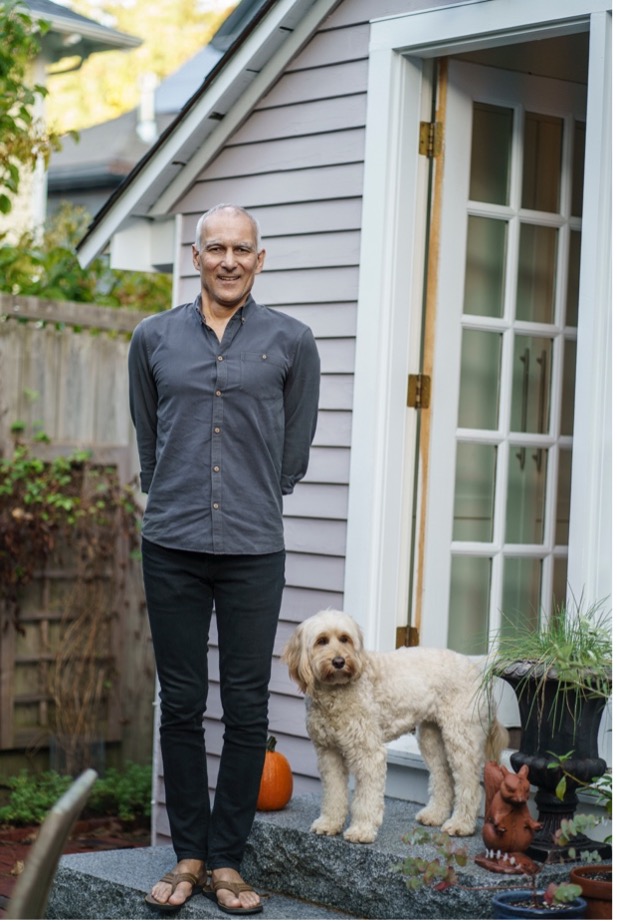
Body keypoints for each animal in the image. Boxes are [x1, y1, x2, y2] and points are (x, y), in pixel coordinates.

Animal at [282, 608, 506, 844]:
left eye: (344, 639)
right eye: (321, 641)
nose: (339, 661)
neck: (334, 692)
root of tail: (477, 669)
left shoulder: (369, 752)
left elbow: (366, 797)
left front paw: (361, 830)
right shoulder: (328, 753)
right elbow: (334, 793)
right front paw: (329, 823)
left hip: (462, 738)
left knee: (469, 783)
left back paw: (461, 824)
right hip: (432, 738)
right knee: (442, 775)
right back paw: (435, 815)